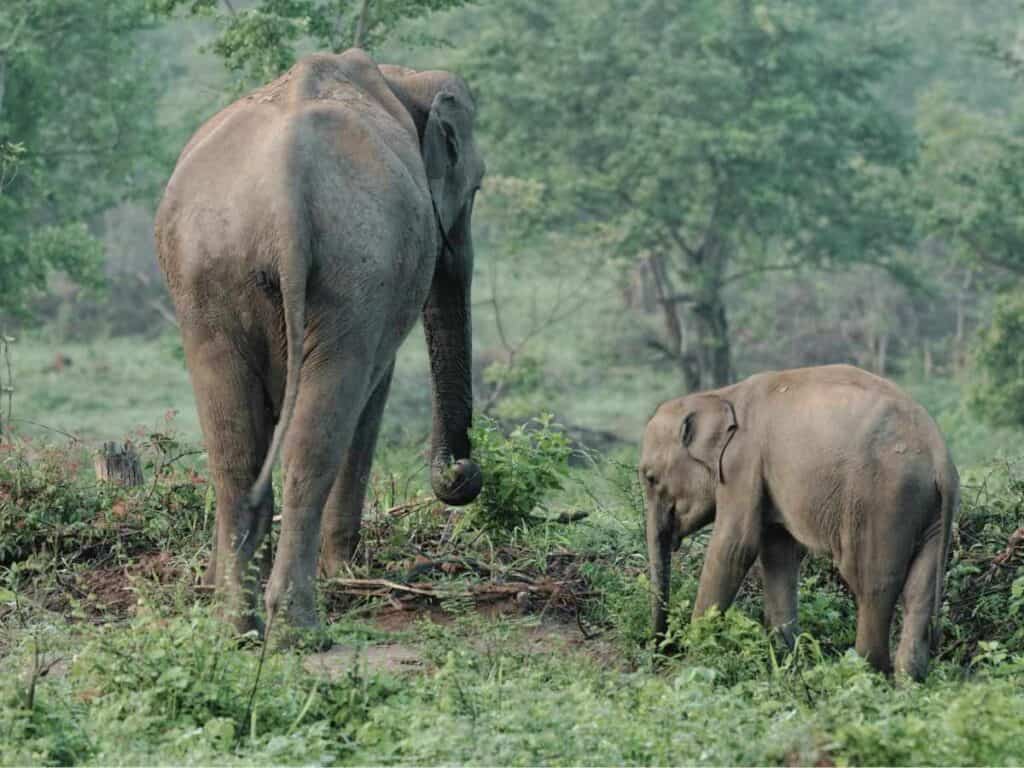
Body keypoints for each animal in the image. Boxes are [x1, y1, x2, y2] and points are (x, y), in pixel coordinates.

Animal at [154, 49, 485, 637]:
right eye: (475, 189)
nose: (463, 475)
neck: (400, 77)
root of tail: (285, 188)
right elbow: (374, 391)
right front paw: (346, 573)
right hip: (354, 270)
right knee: (319, 432)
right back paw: (298, 625)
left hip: (208, 275)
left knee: (233, 446)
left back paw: (238, 623)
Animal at [639, 364, 958, 680]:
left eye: (650, 478)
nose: (661, 654)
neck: (720, 395)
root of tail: (939, 456)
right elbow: (778, 554)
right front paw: (788, 663)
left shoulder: (742, 463)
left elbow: (734, 548)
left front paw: (691, 663)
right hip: (929, 512)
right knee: (919, 590)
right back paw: (909, 682)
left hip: (884, 499)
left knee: (872, 583)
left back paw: (865, 674)